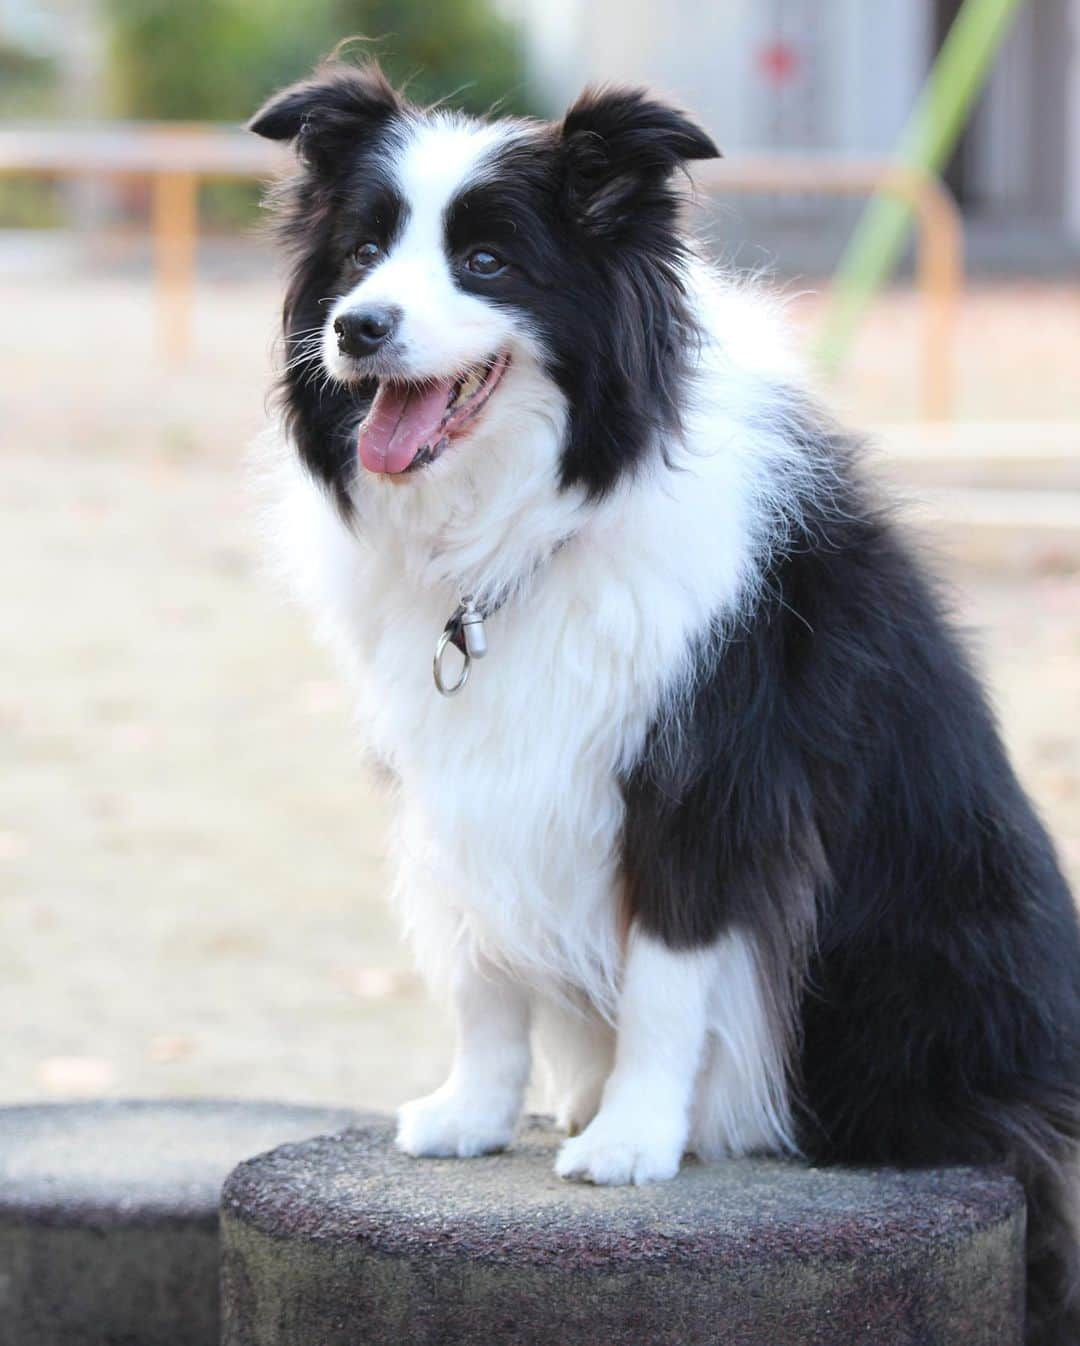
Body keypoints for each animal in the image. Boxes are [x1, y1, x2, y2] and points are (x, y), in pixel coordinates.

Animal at [250, 60, 1077, 1335]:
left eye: (485, 260)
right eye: (363, 251)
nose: (357, 328)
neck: (527, 528)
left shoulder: (707, 789)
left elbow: (666, 983)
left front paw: (637, 1137)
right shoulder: (463, 774)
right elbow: (481, 971)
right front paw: (473, 1113)